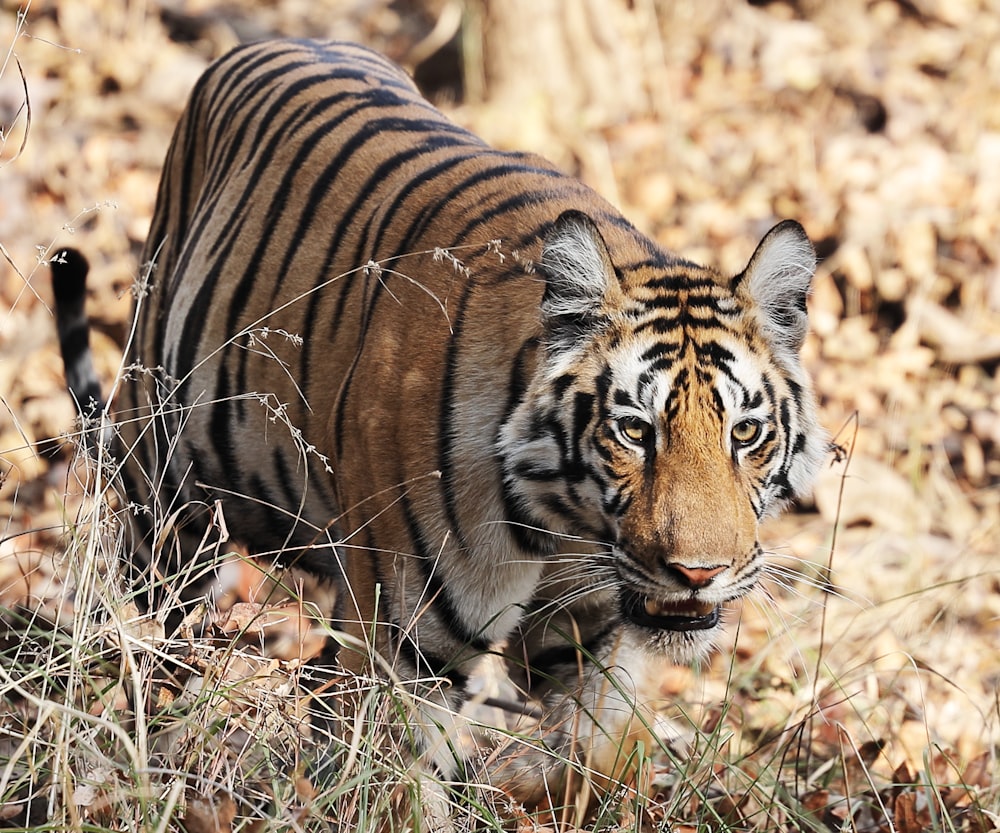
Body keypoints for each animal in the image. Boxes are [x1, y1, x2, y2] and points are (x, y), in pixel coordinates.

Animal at [50, 39, 824, 812]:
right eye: (635, 431)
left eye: (745, 434)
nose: (699, 574)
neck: (566, 521)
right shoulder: (411, 647)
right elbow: (405, 780)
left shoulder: (596, 628)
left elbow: (591, 748)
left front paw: (513, 780)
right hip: (166, 506)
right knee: (141, 641)